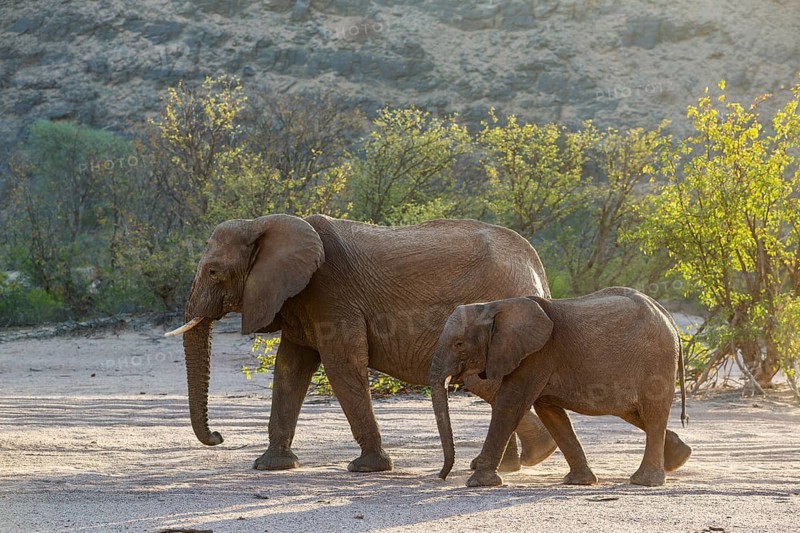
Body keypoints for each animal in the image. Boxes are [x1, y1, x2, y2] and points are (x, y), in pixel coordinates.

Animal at [165, 214, 560, 473]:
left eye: (214, 272)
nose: (218, 436)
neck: (265, 223)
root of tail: (536, 266)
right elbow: (290, 369)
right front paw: (270, 466)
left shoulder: (331, 293)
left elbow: (342, 364)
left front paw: (369, 468)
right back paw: (517, 464)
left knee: (488, 382)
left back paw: (531, 457)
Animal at [430, 287, 692, 487]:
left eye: (459, 344)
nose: (441, 477)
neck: (495, 306)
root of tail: (669, 319)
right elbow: (550, 412)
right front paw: (580, 481)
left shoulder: (537, 355)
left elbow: (510, 404)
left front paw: (478, 482)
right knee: (636, 413)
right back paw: (679, 458)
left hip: (656, 362)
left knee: (652, 415)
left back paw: (645, 481)